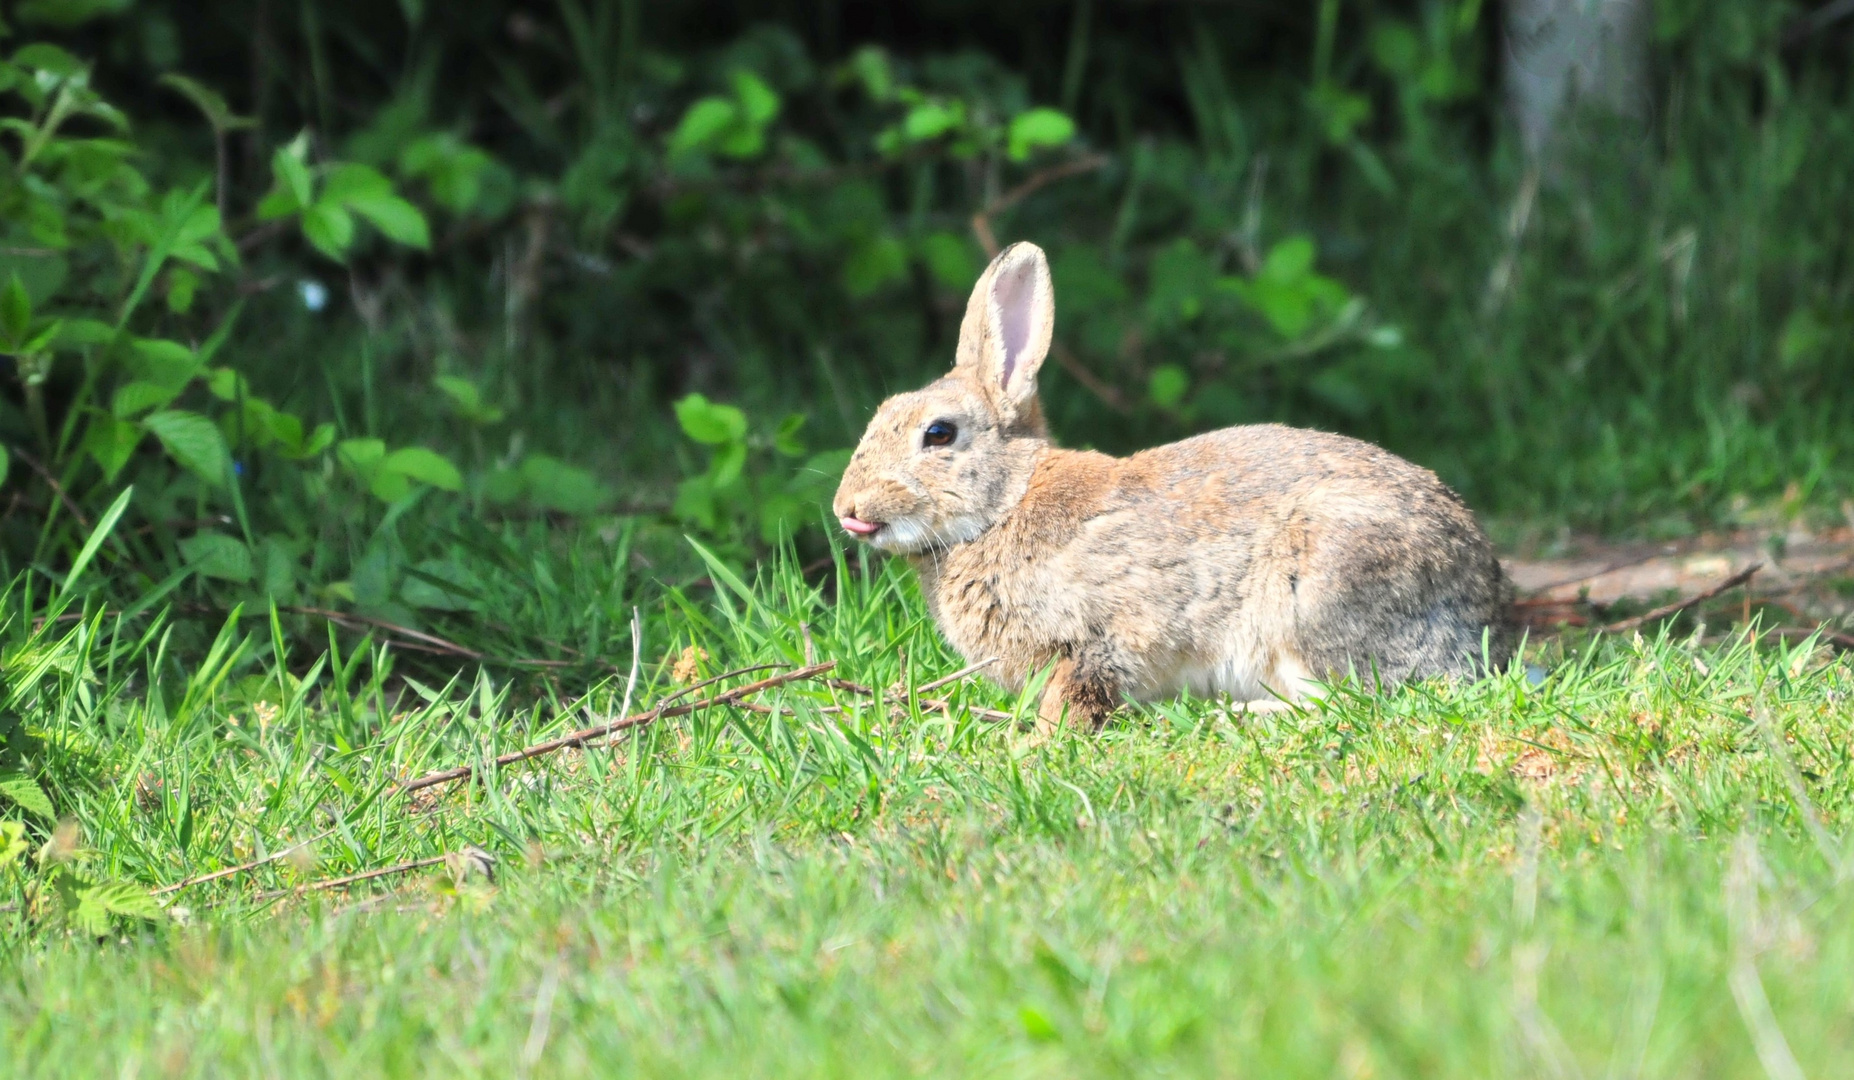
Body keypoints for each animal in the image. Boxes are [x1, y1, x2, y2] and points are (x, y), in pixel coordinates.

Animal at [834, 242, 1512, 733]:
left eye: (939, 434)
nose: (846, 509)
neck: (1004, 505)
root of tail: (1483, 617)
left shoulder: (1099, 638)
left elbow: (1077, 690)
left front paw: (1037, 741)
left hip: (1317, 595)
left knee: (1344, 699)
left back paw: (1231, 712)